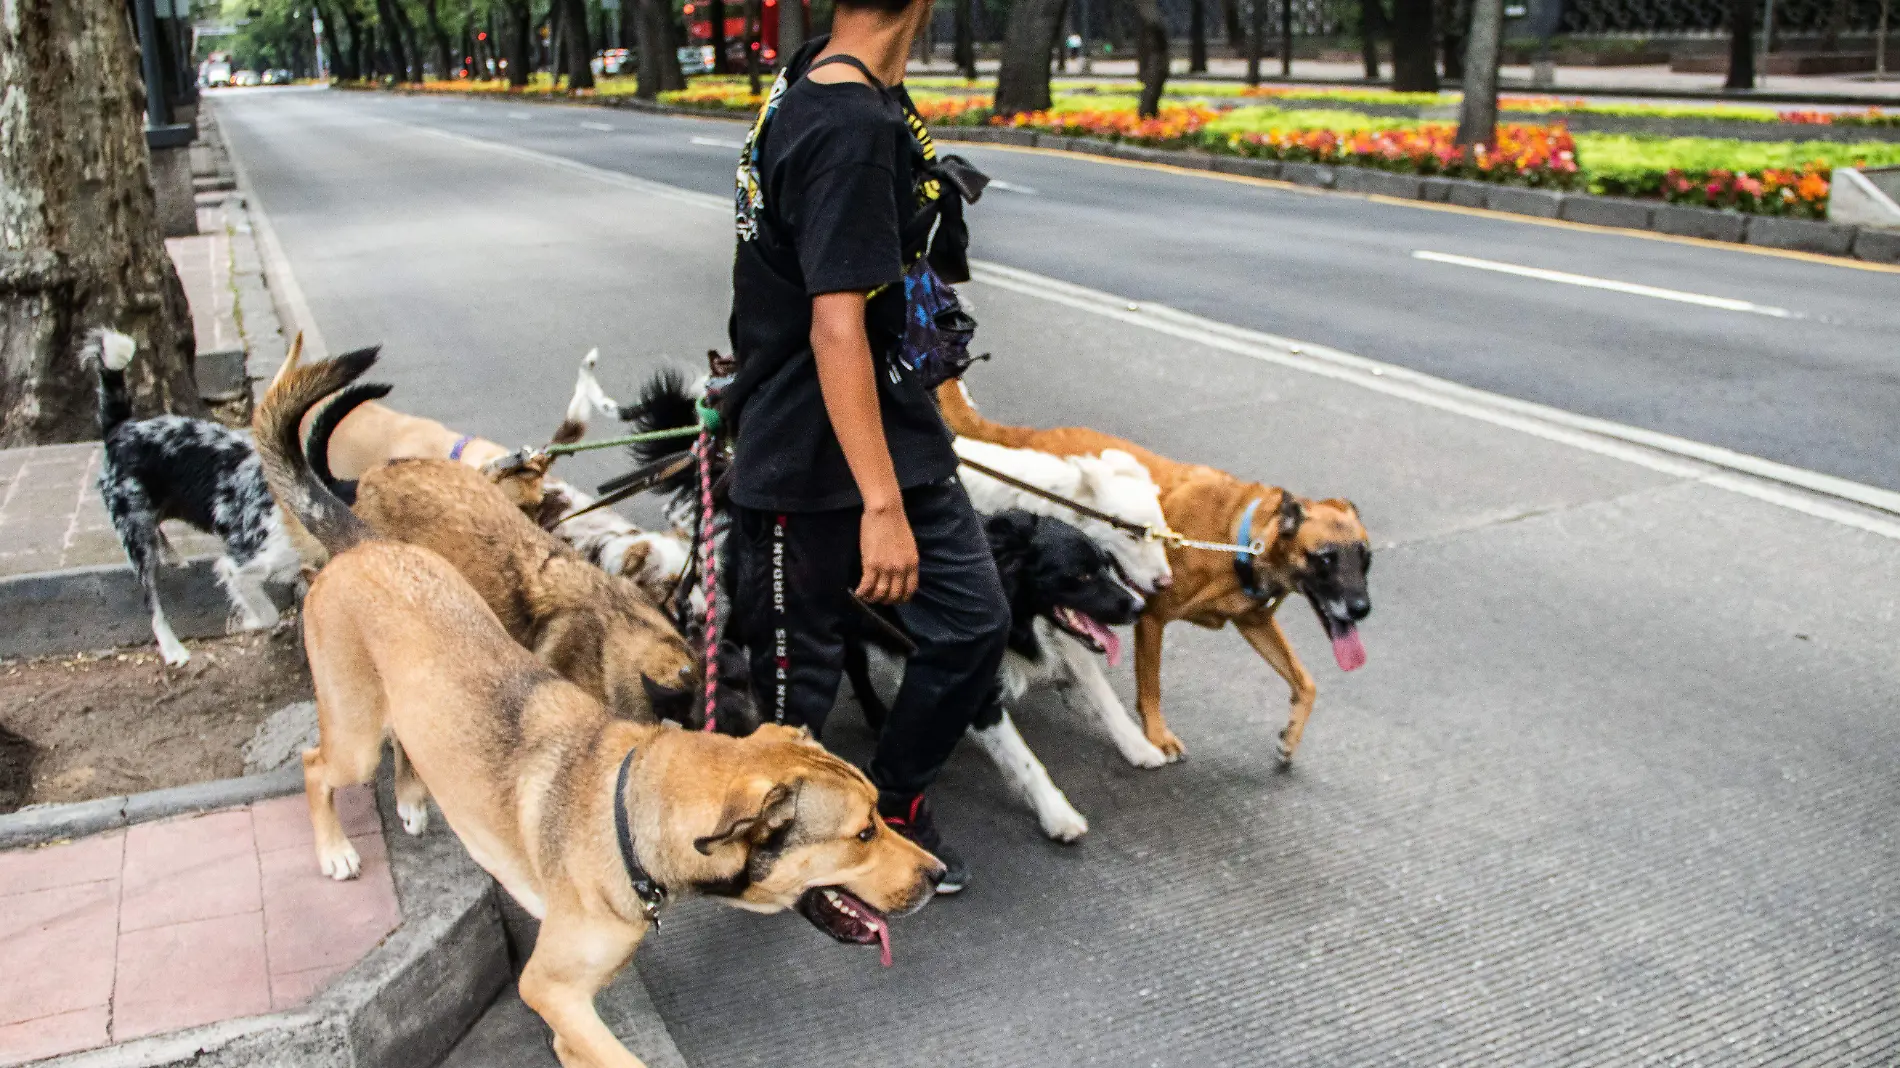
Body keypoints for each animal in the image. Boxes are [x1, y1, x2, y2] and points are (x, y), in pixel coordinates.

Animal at [87, 324, 302, 661]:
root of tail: (121, 428)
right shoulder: (241, 564)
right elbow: (266, 612)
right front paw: (245, 623)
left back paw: (174, 557)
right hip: (135, 534)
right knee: (153, 604)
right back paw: (173, 650)